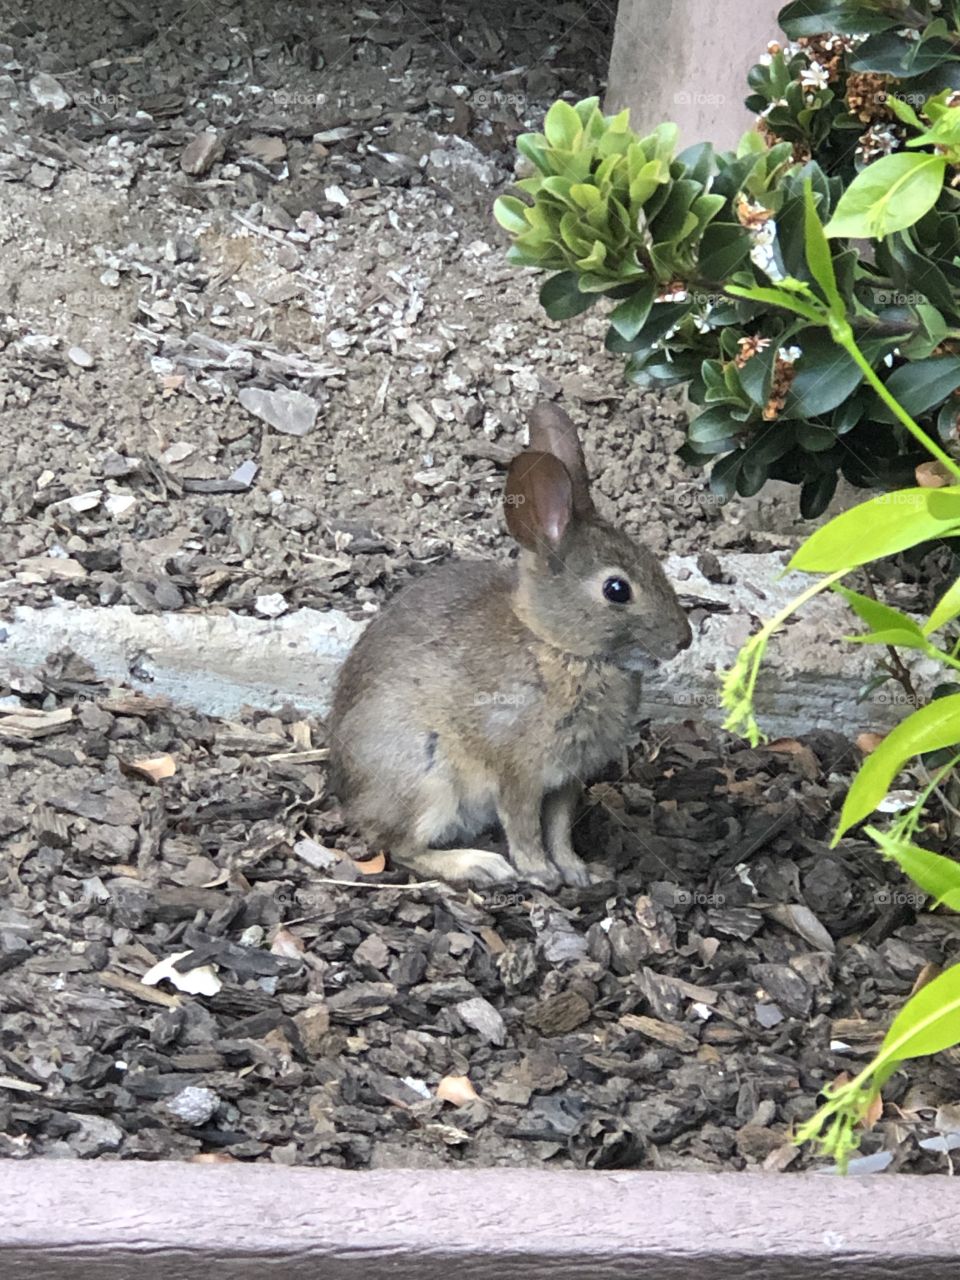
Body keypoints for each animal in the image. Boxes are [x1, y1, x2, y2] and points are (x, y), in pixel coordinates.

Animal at [327, 403, 692, 891]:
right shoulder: (519, 773)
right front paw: (540, 873)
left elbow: (558, 828)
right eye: (617, 590)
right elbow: (524, 826)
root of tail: (347, 796)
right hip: (427, 778)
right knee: (401, 847)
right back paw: (480, 865)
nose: (683, 639)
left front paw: (577, 871)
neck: (557, 646)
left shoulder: (565, 781)